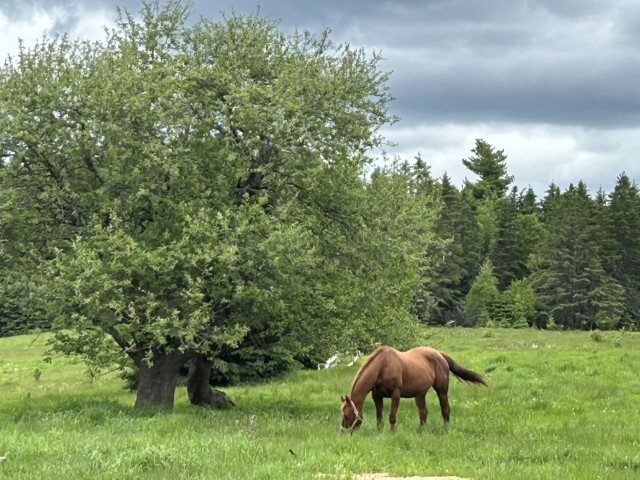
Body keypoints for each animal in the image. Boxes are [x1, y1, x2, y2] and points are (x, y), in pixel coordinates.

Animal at [340, 346, 487, 432]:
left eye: (347, 415)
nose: (343, 431)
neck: (382, 367)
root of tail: (439, 354)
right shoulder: (377, 396)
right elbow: (379, 417)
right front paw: (379, 432)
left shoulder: (396, 394)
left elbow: (392, 416)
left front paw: (392, 433)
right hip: (420, 394)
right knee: (423, 412)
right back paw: (420, 431)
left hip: (442, 390)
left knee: (445, 409)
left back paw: (445, 429)